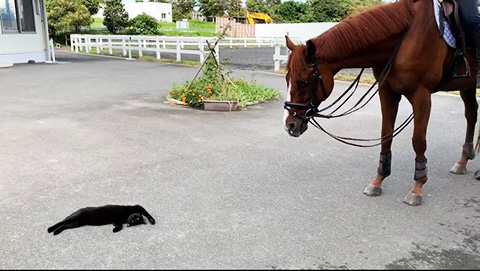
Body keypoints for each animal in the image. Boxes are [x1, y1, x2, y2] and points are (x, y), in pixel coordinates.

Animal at [284, 0, 478, 206]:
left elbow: (418, 140)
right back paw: (463, 160)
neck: (407, 35)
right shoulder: (387, 92)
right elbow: (386, 135)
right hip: (467, 85)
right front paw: (378, 180)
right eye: (287, 78)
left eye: (303, 82)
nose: (289, 125)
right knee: (471, 114)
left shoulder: (421, 94)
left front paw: (418, 186)